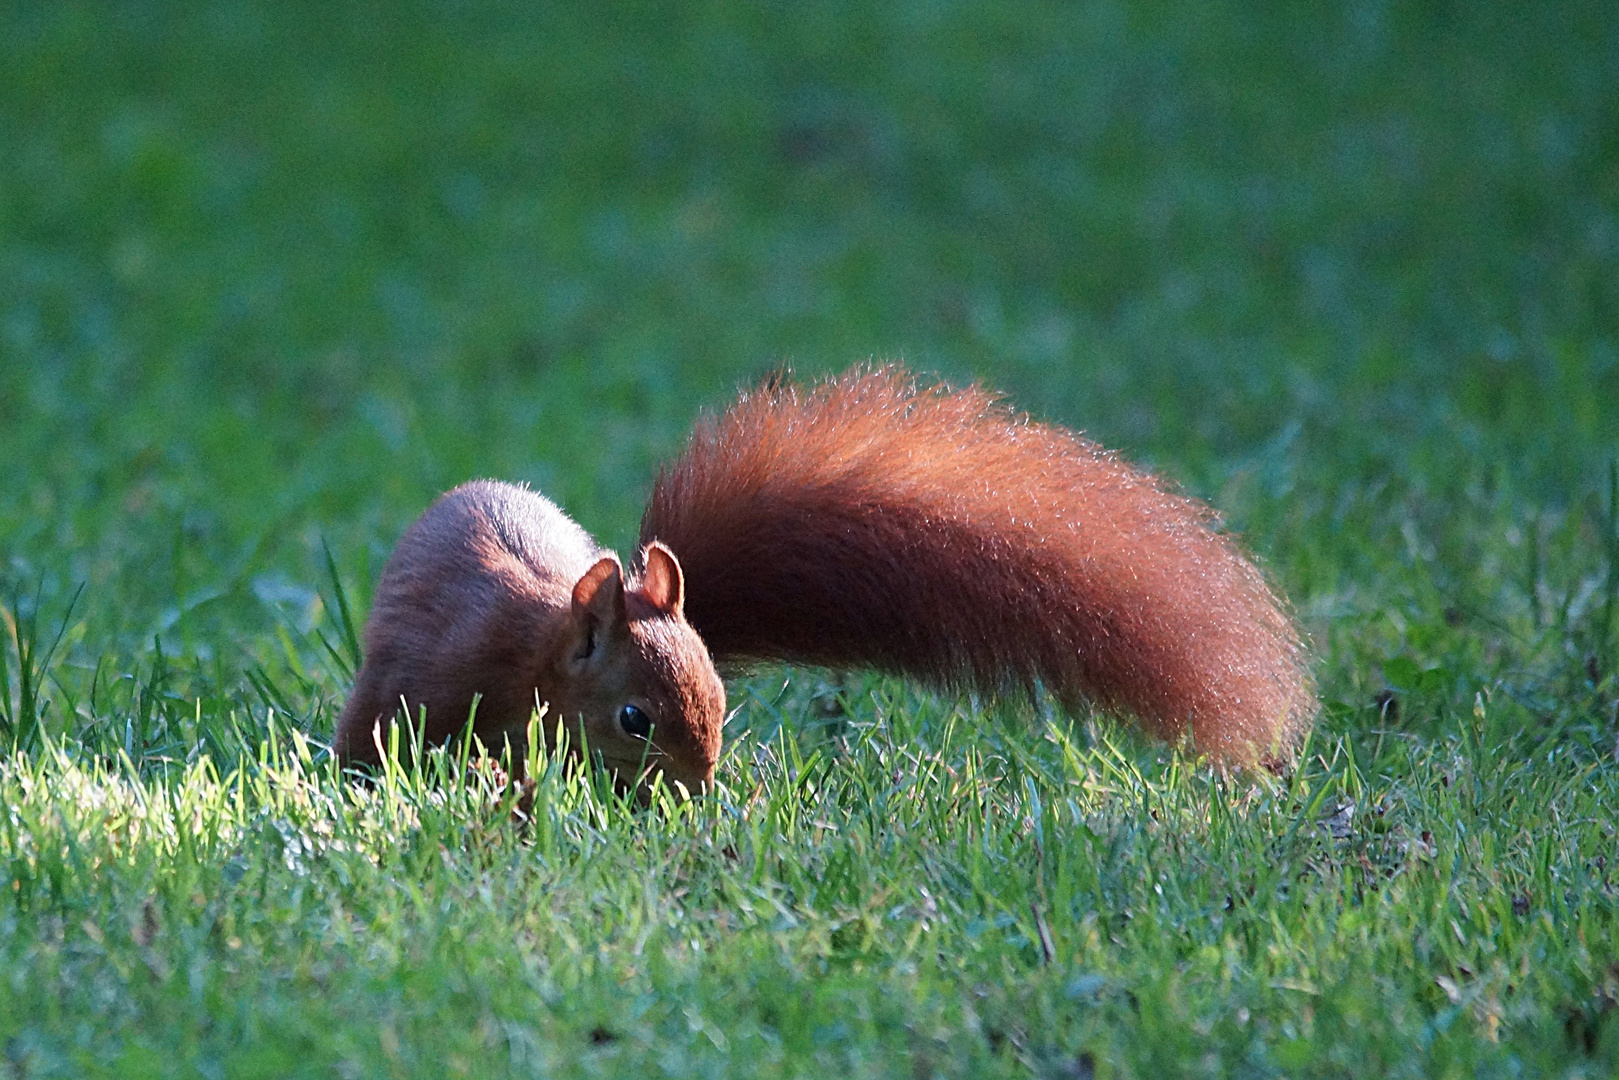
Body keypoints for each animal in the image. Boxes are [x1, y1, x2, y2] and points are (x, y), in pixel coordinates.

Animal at [338, 362, 1314, 786]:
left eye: (720, 702)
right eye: (632, 719)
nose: (699, 792)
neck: (538, 657)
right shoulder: (438, 676)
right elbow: (377, 739)